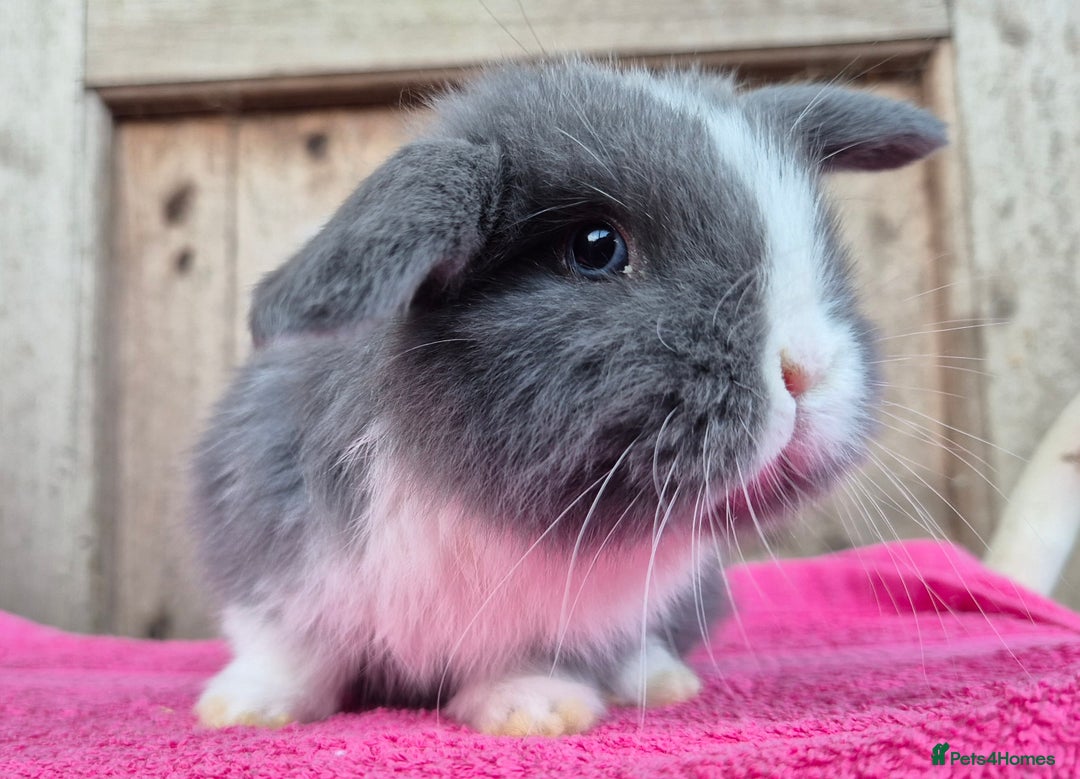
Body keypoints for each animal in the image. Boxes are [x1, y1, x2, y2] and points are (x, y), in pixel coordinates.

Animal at [190, 59, 946, 735]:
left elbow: (527, 655)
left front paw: (537, 710)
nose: (806, 369)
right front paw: (245, 709)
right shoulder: (272, 547)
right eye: (595, 247)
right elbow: (285, 645)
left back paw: (661, 680)